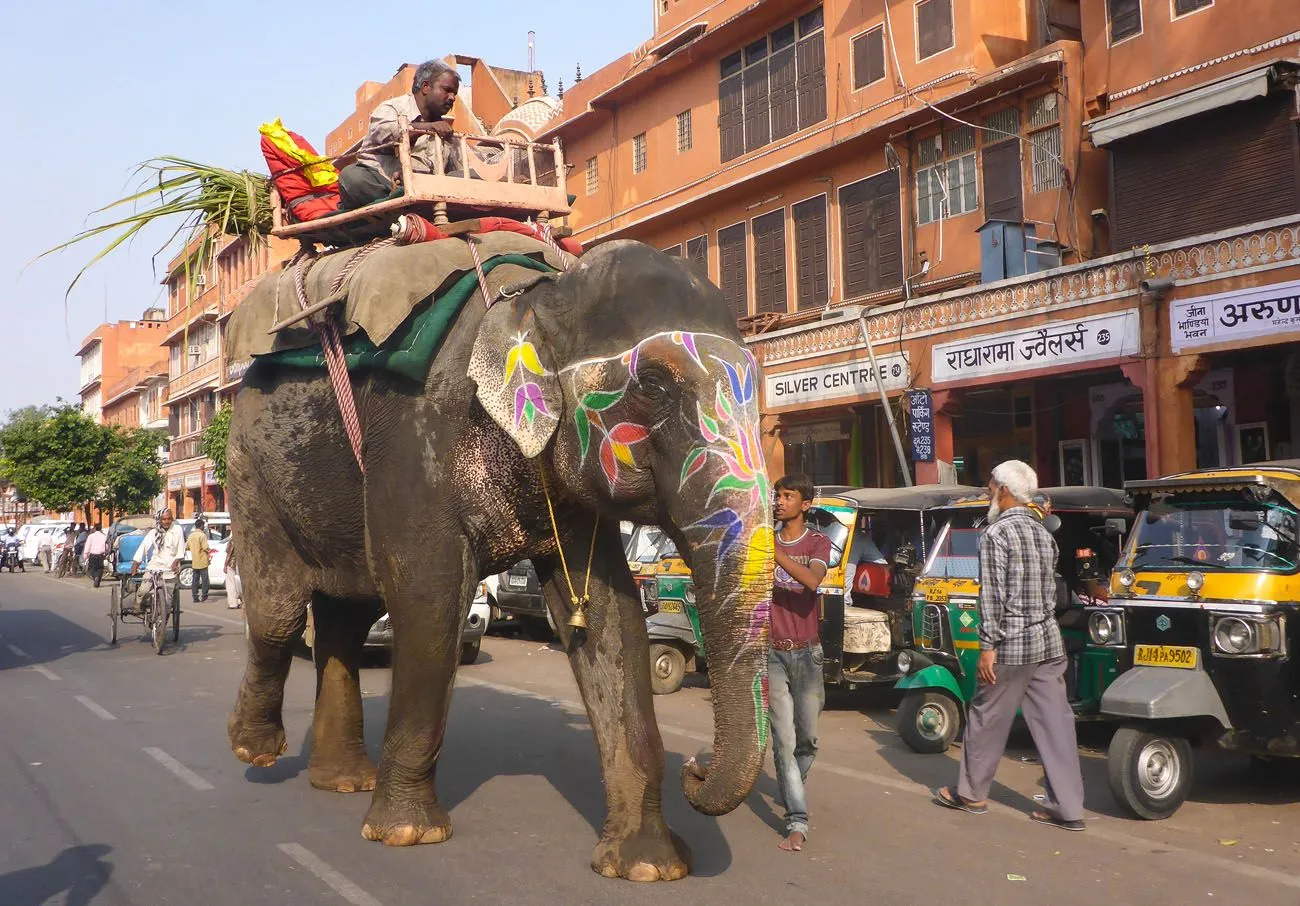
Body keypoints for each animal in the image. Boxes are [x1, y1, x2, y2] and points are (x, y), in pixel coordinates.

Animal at [226, 236, 769, 878]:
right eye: (654, 387)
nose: (699, 765)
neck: (537, 300)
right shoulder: (414, 439)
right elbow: (430, 599)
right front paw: (407, 834)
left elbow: (612, 621)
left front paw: (647, 866)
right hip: (250, 471)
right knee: (281, 615)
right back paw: (255, 750)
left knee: (346, 614)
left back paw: (343, 781)